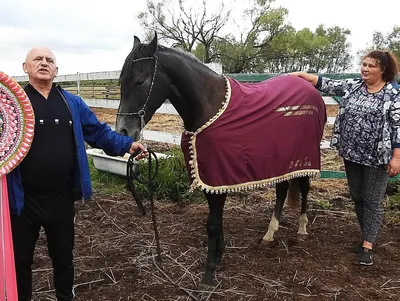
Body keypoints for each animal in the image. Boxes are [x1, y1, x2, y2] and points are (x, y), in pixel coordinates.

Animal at [116, 32, 328, 286]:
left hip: (305, 156)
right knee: (282, 189)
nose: (123, 131)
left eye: (140, 81)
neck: (209, 106)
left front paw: (209, 273)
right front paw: (219, 254)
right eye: (120, 81)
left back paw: (302, 229)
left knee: (304, 187)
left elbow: (212, 223)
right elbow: (216, 219)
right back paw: (269, 233)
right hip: (282, 160)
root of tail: (310, 88)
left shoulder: (218, 173)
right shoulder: (211, 176)